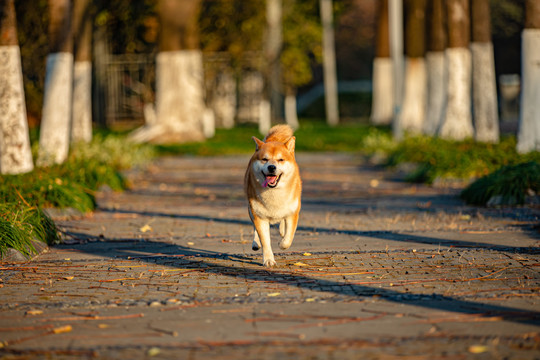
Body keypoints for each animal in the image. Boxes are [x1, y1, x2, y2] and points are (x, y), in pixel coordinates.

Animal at [246, 125, 302, 266]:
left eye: (280, 159)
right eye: (264, 159)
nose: (271, 167)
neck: (274, 193)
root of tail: (273, 139)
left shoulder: (293, 212)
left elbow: (288, 238)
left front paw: (282, 243)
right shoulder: (258, 215)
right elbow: (265, 240)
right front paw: (268, 260)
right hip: (251, 209)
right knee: (255, 229)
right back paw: (256, 243)